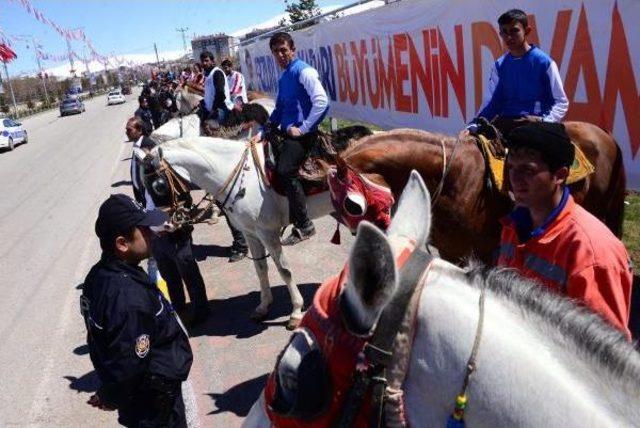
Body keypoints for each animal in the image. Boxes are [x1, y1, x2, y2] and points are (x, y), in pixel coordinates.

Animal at [147, 137, 332, 328]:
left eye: (159, 186)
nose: (164, 226)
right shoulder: (251, 233)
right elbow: (260, 269)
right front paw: (263, 306)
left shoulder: (268, 233)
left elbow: (284, 270)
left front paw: (295, 312)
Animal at [338, 122, 628, 264]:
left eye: (352, 205)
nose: (364, 235)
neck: (455, 179)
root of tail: (606, 136)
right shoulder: (452, 252)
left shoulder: (484, 253)